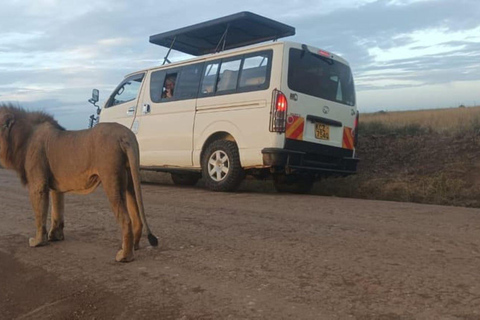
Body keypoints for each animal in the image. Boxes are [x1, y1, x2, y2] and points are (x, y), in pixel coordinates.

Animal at [0, 105, 158, 262]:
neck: (22, 138)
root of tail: (125, 135)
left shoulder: (38, 185)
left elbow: (40, 215)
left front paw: (38, 241)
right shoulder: (56, 186)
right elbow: (57, 211)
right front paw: (55, 236)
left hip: (111, 179)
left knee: (126, 220)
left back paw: (125, 255)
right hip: (130, 179)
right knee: (137, 218)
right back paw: (133, 246)